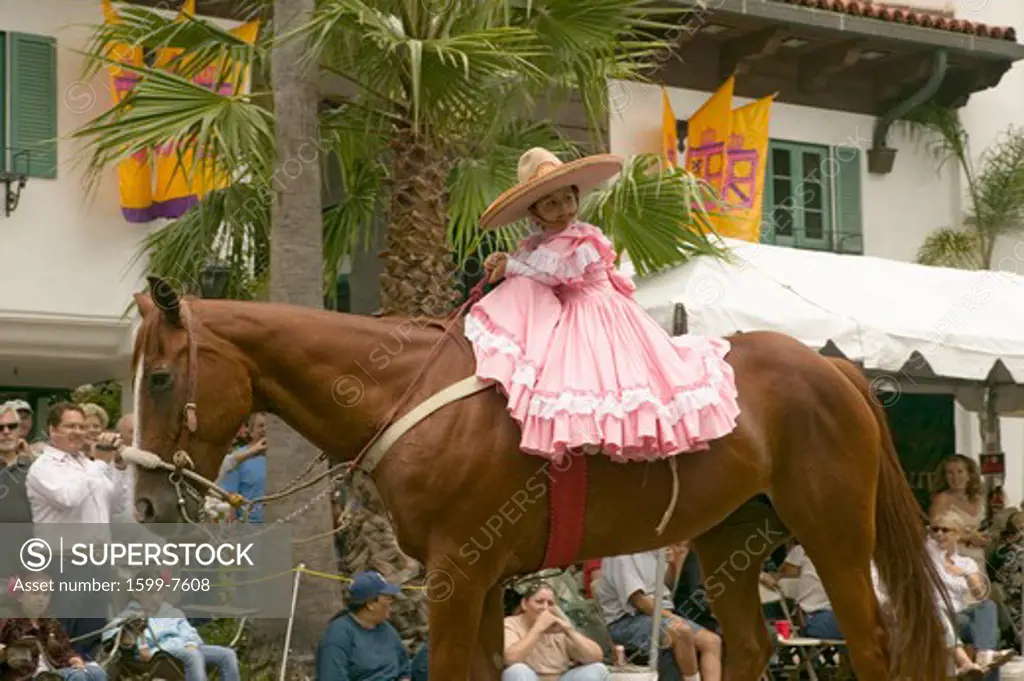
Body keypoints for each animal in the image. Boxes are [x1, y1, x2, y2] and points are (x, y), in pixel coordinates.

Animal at [132, 278, 946, 679]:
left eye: (162, 376)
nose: (144, 499)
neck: (412, 395)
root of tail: (833, 369)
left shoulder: (459, 574)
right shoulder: (486, 582)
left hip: (834, 533)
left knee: (873, 643)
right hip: (730, 543)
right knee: (750, 647)